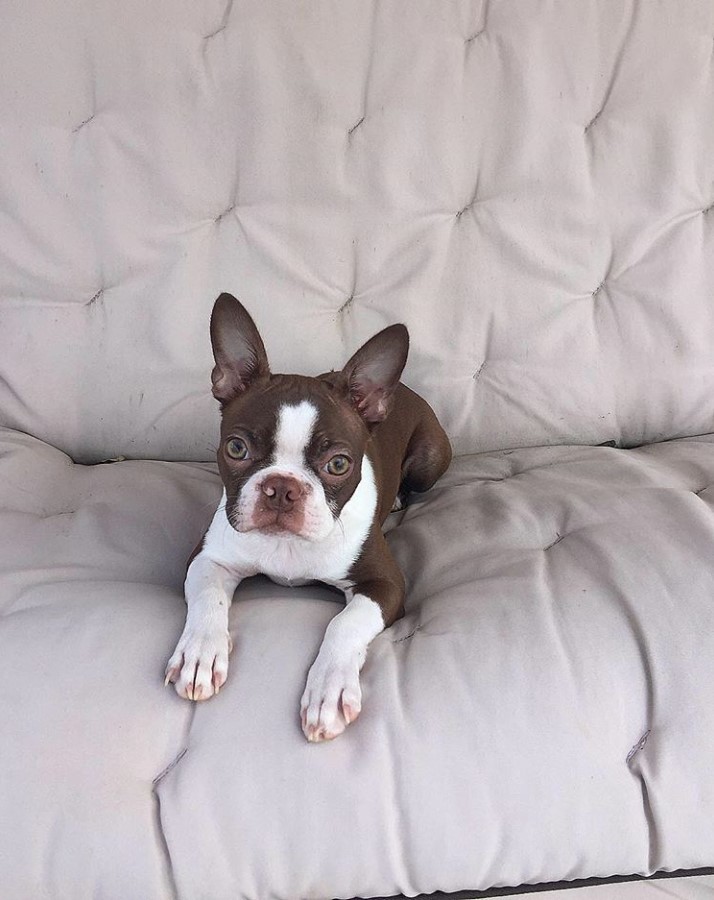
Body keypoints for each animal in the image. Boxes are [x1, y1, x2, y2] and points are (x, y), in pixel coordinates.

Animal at [164, 292, 448, 740]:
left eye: (338, 464)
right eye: (236, 448)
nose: (282, 488)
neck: (288, 547)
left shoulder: (386, 584)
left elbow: (345, 624)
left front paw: (329, 690)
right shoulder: (208, 558)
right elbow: (209, 596)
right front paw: (200, 654)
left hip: (433, 458)